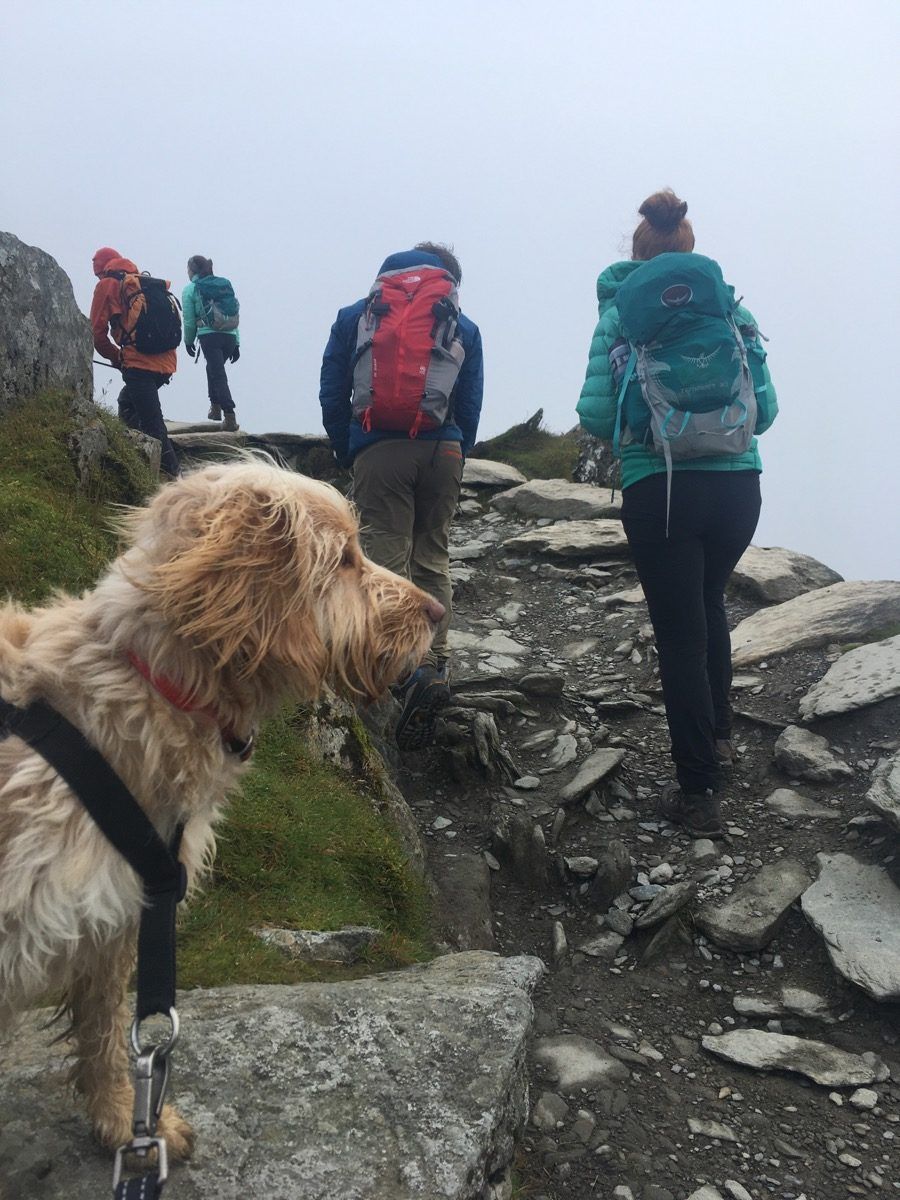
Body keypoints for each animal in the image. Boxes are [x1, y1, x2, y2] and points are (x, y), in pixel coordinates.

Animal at [0, 456, 444, 1161]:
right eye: (345, 558)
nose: (437, 610)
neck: (150, 690)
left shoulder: (116, 912)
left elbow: (107, 1029)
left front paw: (125, 1120)